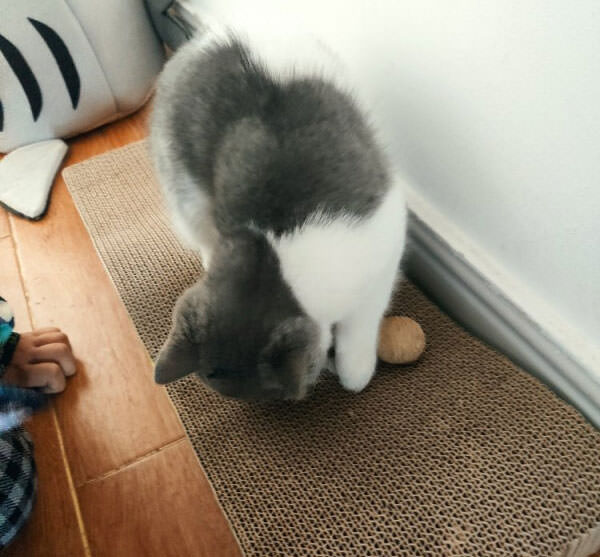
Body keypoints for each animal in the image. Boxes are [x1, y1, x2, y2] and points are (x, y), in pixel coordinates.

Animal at [149, 29, 408, 400]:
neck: (273, 253)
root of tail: (202, 41)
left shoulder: (383, 259)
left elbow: (360, 327)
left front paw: (354, 373)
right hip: (187, 195)